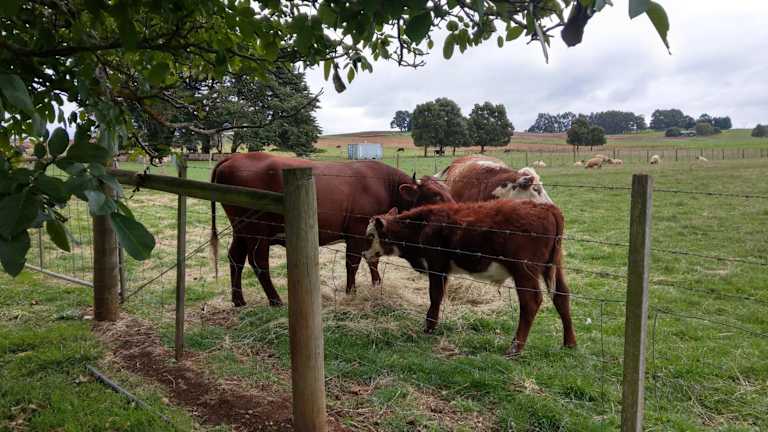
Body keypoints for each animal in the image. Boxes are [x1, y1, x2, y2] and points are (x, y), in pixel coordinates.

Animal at [210, 152, 454, 307]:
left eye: (446, 190)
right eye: (435, 196)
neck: (384, 185)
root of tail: (233, 157)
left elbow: (373, 260)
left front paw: (376, 285)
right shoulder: (356, 231)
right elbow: (352, 262)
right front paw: (351, 292)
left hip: (241, 230)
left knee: (235, 258)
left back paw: (238, 300)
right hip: (258, 230)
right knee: (258, 261)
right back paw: (275, 300)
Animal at [363, 201, 577, 356]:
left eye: (371, 235)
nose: (364, 254)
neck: (421, 226)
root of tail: (546, 208)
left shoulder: (437, 265)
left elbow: (435, 295)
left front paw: (429, 327)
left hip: (524, 270)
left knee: (531, 302)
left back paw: (515, 348)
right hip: (554, 266)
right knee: (561, 296)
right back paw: (569, 343)